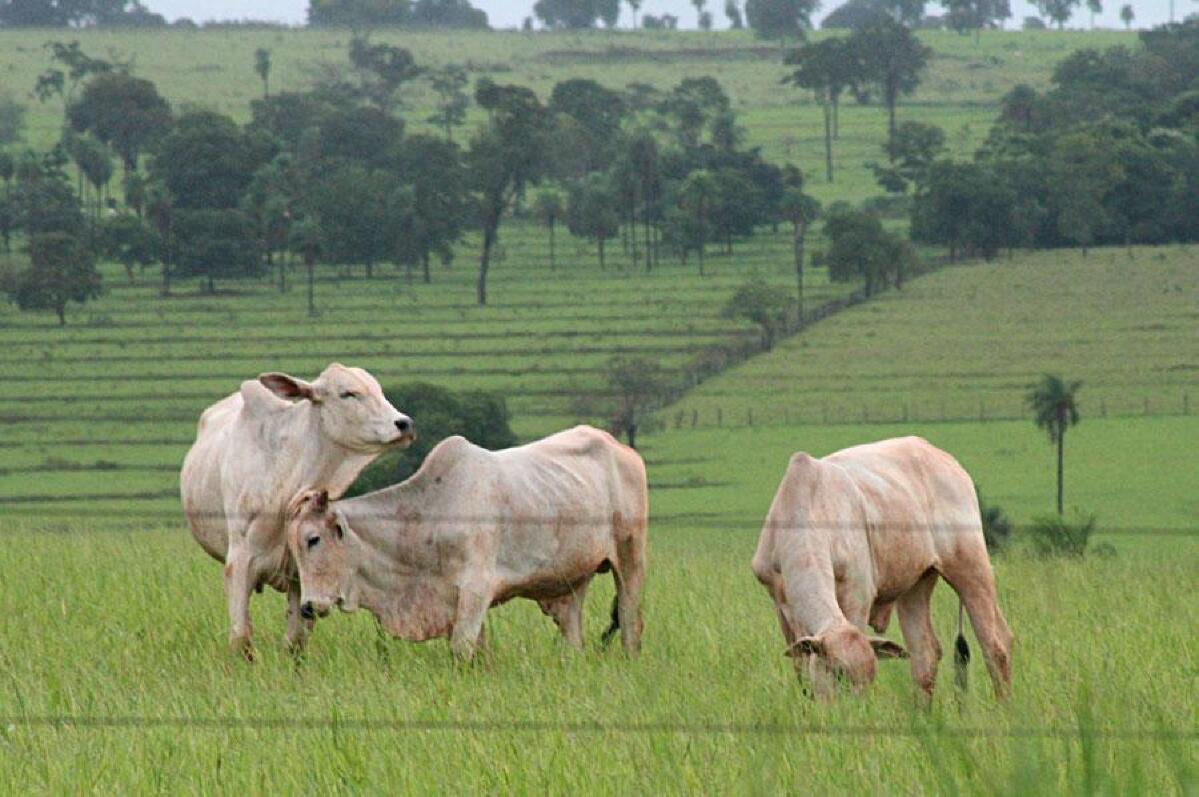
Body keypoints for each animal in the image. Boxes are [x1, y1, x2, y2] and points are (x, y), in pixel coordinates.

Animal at [179, 364, 414, 656]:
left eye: (379, 390)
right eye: (347, 393)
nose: (404, 424)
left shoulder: (304, 575)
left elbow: (295, 641)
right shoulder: (240, 564)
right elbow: (241, 638)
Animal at [281, 421, 647, 656]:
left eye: (313, 539)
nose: (308, 607)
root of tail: (620, 447)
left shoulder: (476, 590)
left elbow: (461, 650)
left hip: (630, 559)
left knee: (630, 624)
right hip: (572, 580)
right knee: (573, 634)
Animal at [748, 436, 1011, 704]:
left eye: (870, 677)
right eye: (839, 673)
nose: (857, 708)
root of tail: (944, 459)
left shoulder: (857, 595)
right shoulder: (780, 605)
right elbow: (801, 669)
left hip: (970, 566)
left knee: (996, 644)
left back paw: (1003, 706)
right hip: (917, 583)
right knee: (925, 654)